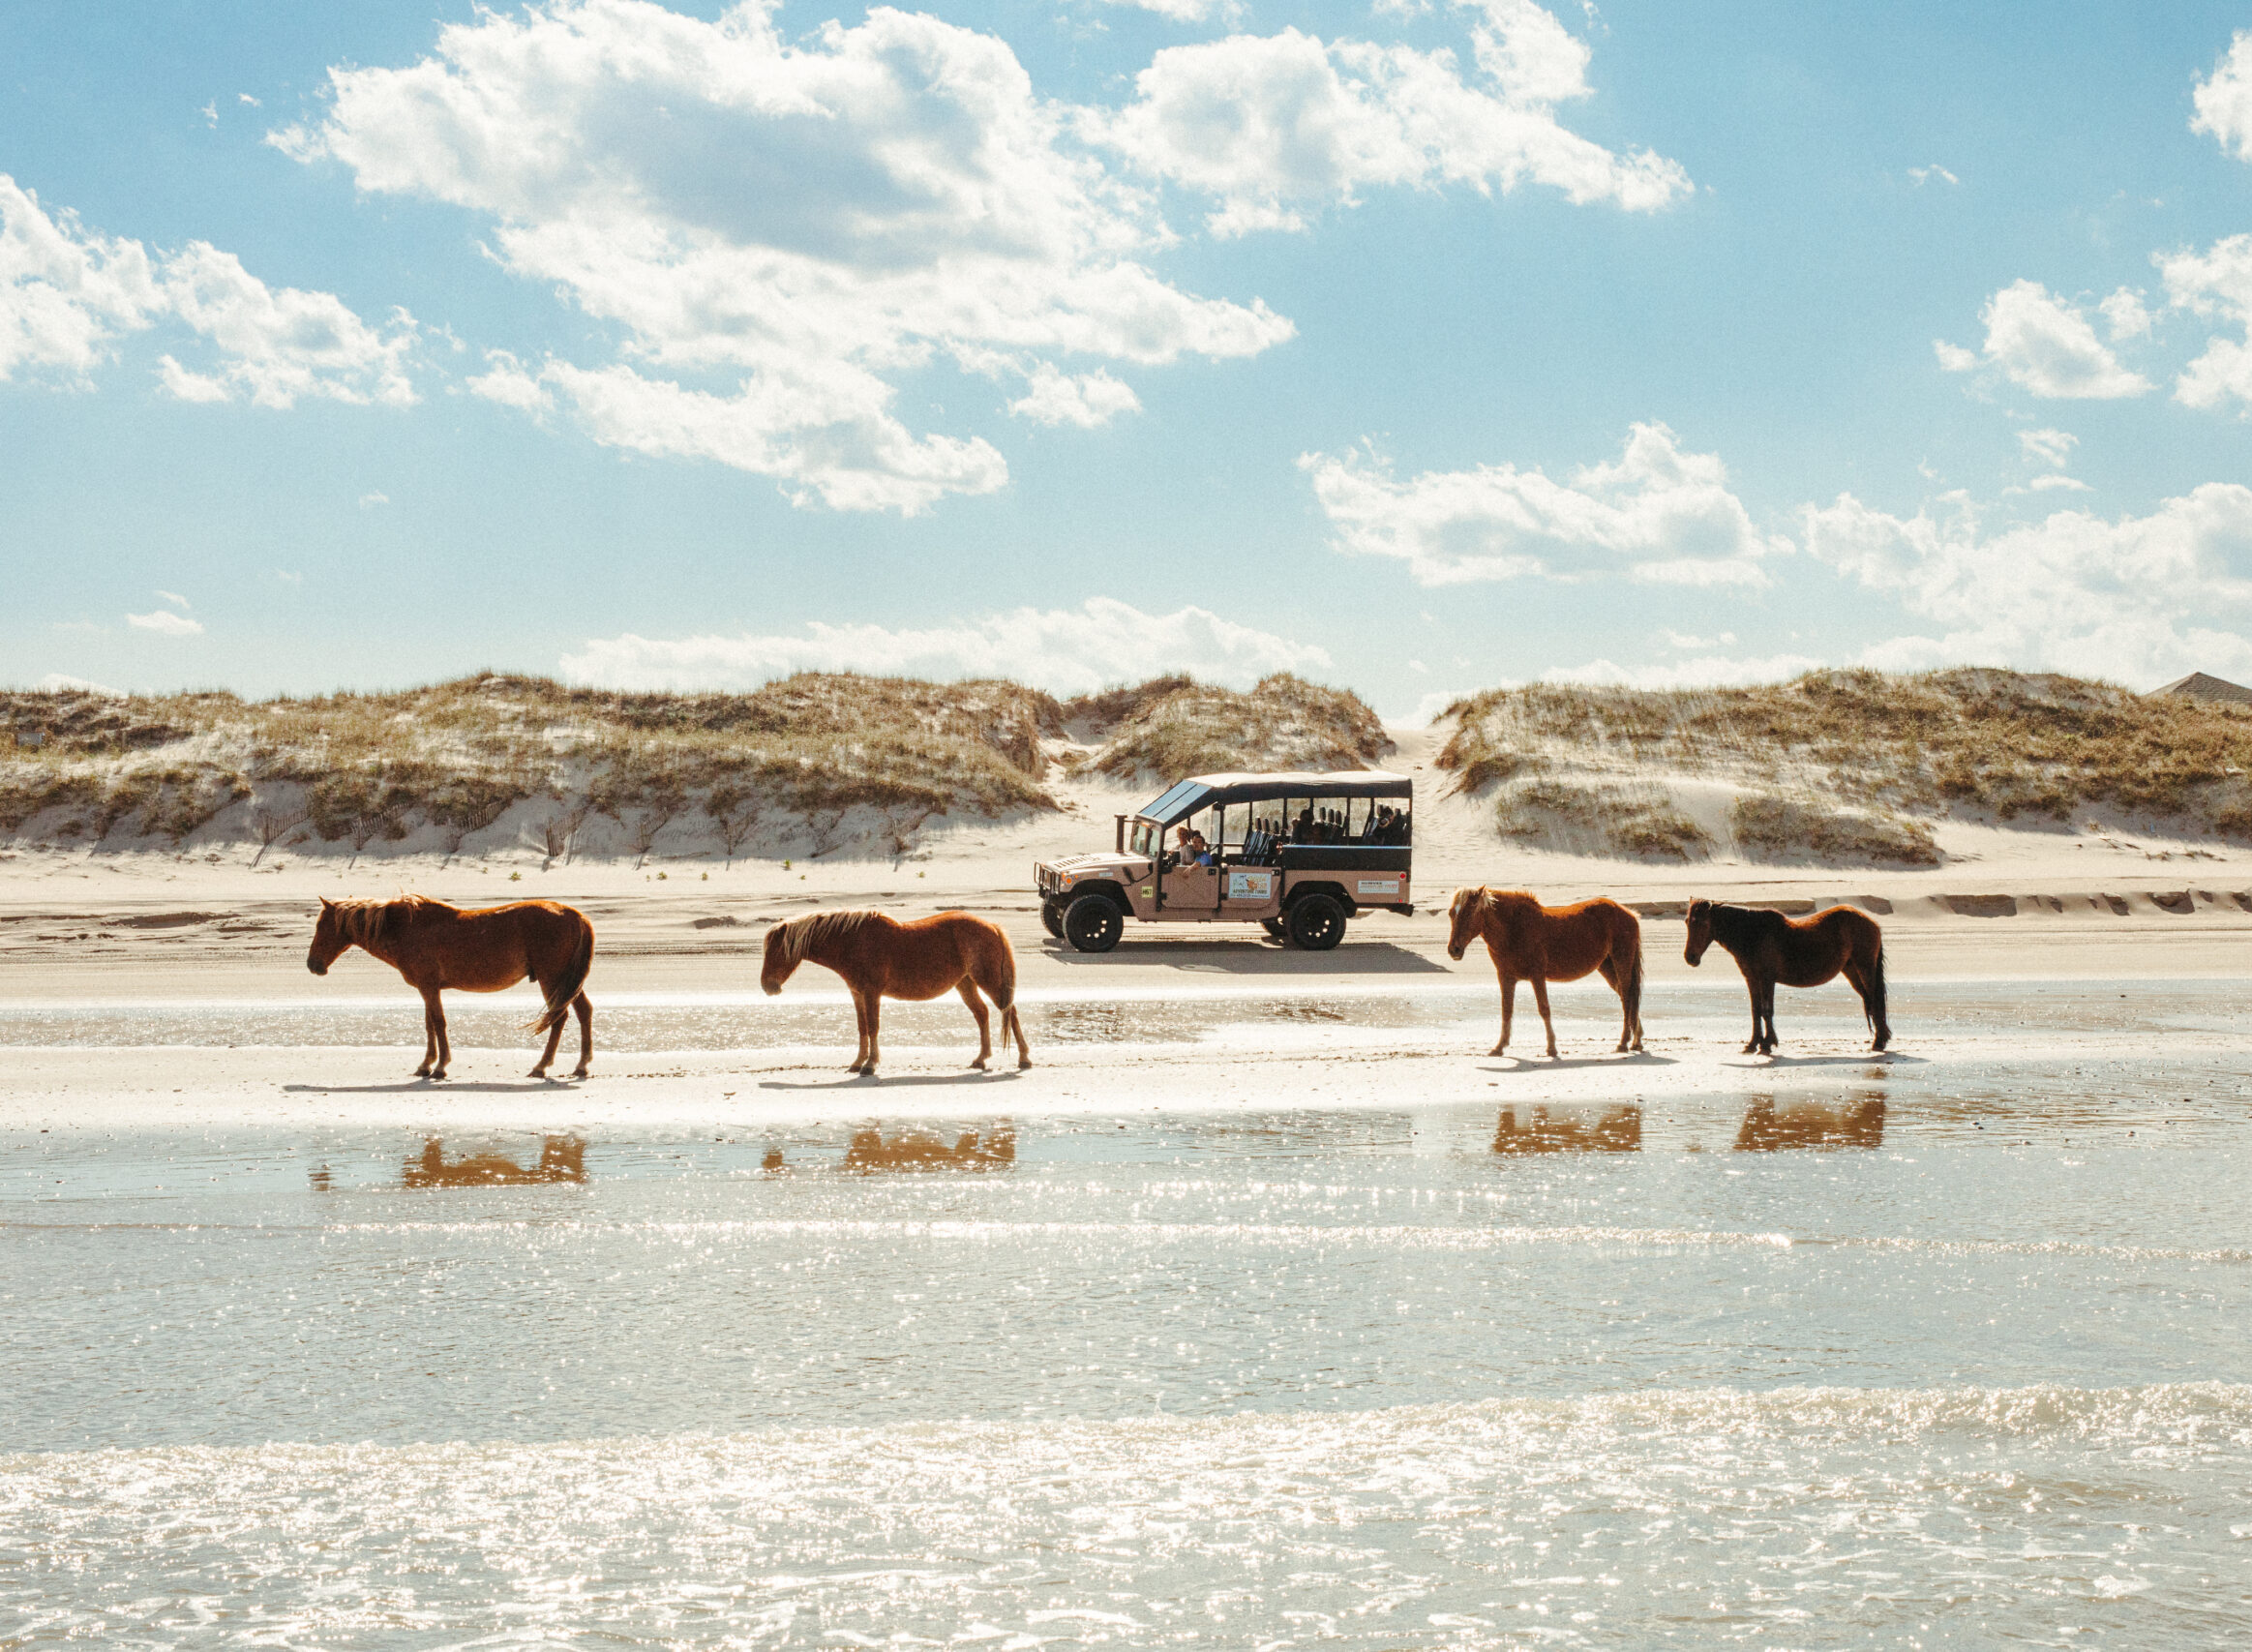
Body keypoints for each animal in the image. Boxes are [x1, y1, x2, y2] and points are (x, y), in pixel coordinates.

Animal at [304, 890, 598, 1089]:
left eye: (321, 926)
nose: (312, 965)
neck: (405, 929)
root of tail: (575, 915)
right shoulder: (427, 988)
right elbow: (429, 1025)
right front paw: (425, 1065)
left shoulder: (429, 986)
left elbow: (438, 1022)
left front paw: (440, 1067)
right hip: (567, 981)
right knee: (583, 1012)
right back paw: (581, 1065)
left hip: (553, 978)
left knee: (559, 1018)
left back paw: (541, 1066)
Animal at [761, 914, 1031, 1080]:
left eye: (777, 951)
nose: (767, 987)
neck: (853, 941)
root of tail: (992, 927)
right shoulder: (857, 994)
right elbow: (862, 1028)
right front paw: (857, 1062)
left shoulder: (871, 993)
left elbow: (872, 1027)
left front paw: (870, 1064)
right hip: (965, 983)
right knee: (982, 1014)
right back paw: (981, 1059)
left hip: (989, 980)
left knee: (1010, 1011)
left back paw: (1024, 1058)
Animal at [1450, 890, 1648, 1062]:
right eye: (1451, 914)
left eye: (1468, 913)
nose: (1454, 950)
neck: (1514, 929)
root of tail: (1629, 913)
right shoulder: (1506, 977)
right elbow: (1506, 1010)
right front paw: (1499, 1047)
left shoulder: (1537, 975)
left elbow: (1544, 1008)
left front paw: (1551, 1047)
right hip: (1607, 966)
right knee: (1627, 996)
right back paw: (1636, 1041)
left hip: (1621, 961)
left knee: (1627, 999)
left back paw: (1623, 1042)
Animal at [1693, 900, 1882, 1053]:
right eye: (1688, 922)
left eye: (1703, 923)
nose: (1690, 957)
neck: (1754, 934)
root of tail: (1871, 922)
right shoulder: (1752, 979)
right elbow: (1756, 1010)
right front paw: (1754, 1043)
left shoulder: (1767, 979)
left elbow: (1767, 1010)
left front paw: (1767, 1043)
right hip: (1851, 970)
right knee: (1870, 999)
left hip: (1864, 967)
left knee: (1875, 999)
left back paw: (1879, 1042)